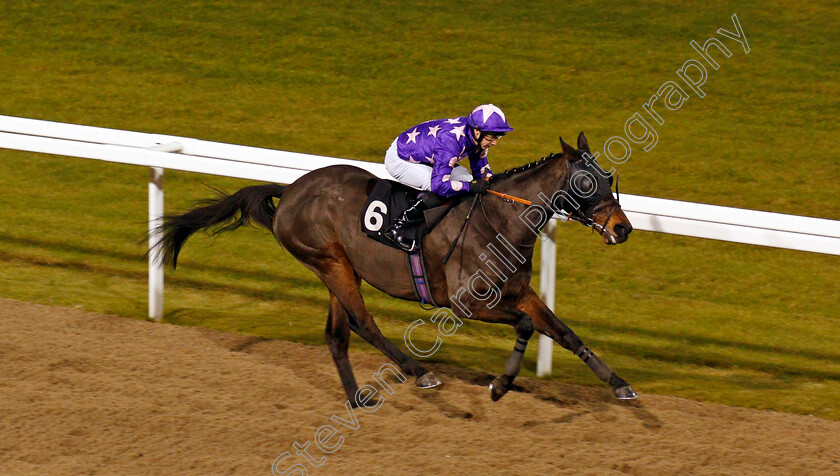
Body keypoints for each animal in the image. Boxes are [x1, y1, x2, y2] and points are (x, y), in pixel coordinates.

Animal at [159, 133, 636, 406]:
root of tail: (290, 188)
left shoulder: (520, 293)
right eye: (587, 182)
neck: (501, 220)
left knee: (337, 334)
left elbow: (564, 332)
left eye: (608, 176)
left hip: (337, 266)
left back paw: (357, 398)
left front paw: (619, 384)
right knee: (362, 323)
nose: (623, 228)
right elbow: (523, 326)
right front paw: (500, 386)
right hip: (331, 263)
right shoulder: (467, 302)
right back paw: (420, 373)